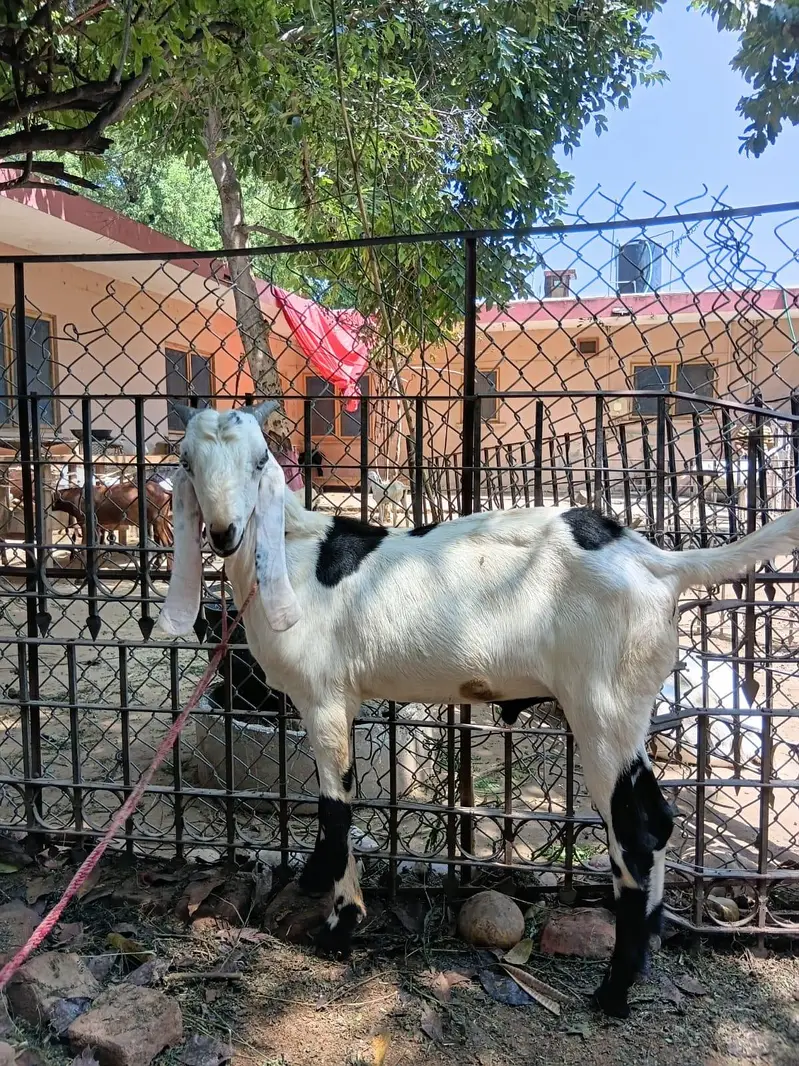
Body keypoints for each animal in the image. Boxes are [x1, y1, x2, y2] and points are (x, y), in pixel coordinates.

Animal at [158, 400, 799, 1019]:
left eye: (260, 460)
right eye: (187, 461)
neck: (296, 554)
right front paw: (317, 881)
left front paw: (341, 928)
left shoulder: (325, 698)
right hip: (626, 707)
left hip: (602, 707)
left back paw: (613, 995)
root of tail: (654, 562)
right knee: (659, 820)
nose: (225, 533)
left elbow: (337, 808)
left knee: (636, 834)